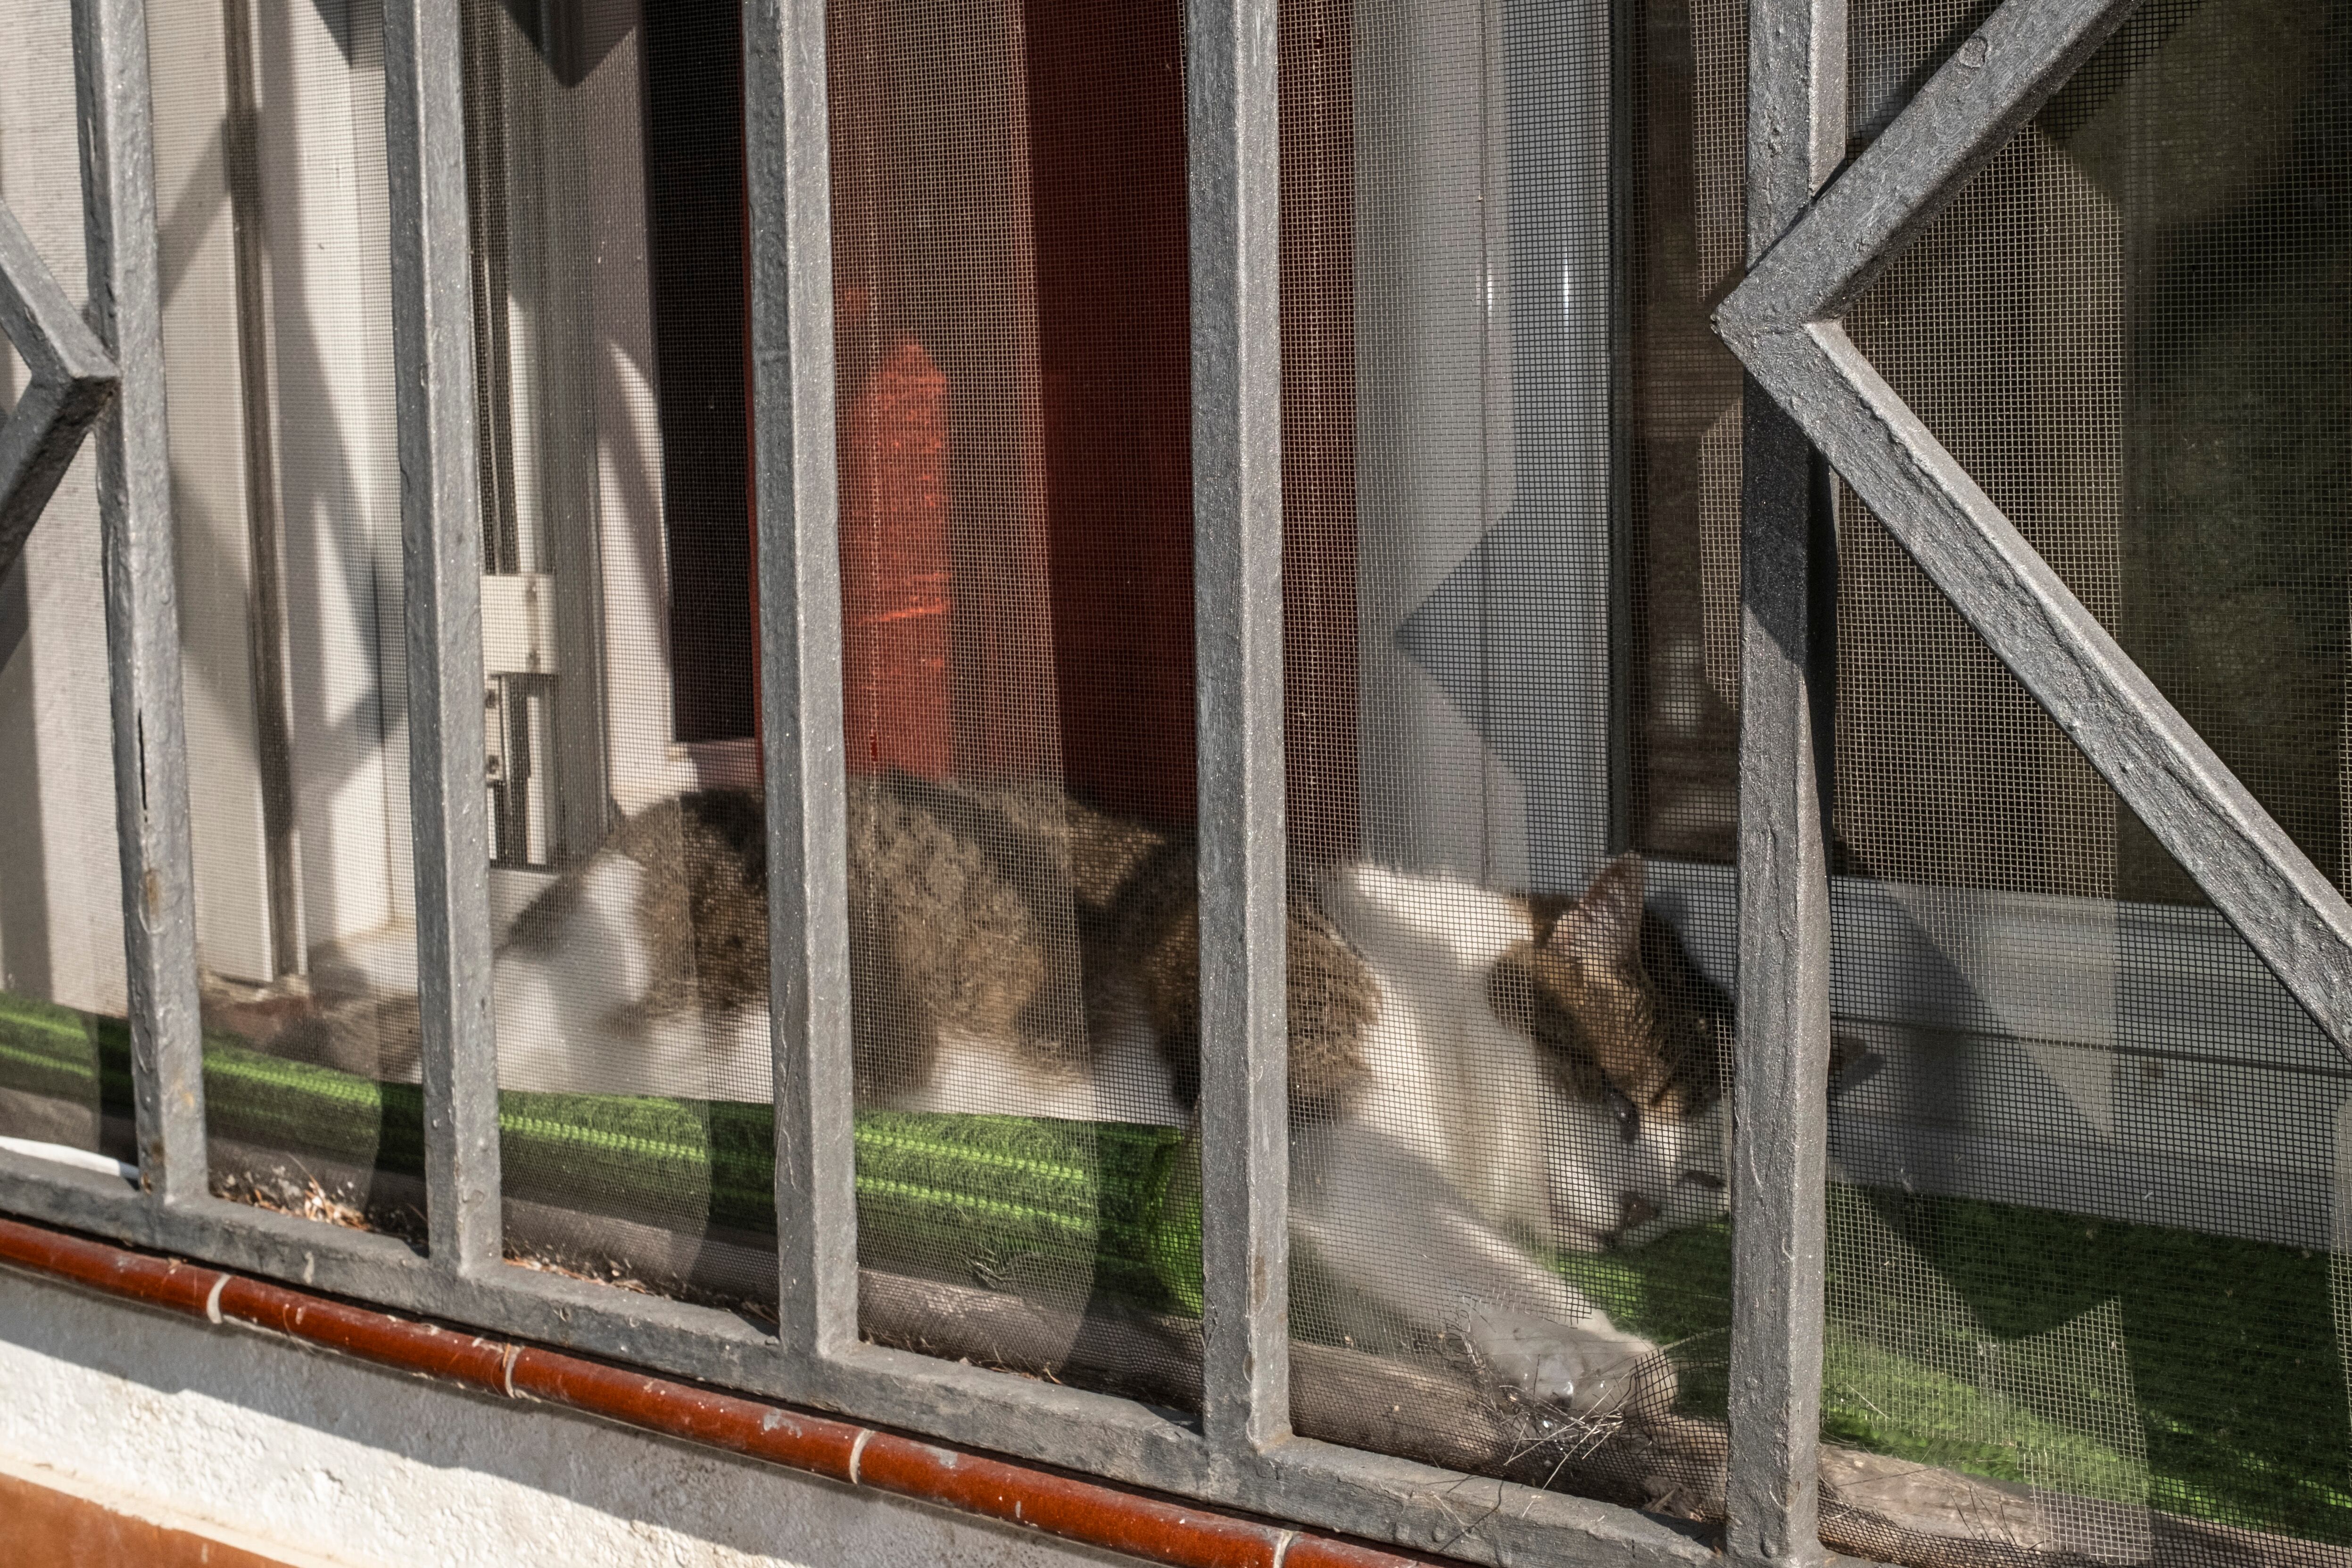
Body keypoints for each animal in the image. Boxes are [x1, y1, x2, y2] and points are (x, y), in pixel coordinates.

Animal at [298, 776, 1731, 1419]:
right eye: (1620, 1100)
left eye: (1702, 1184)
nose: (1639, 1212)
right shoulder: (1320, 1130)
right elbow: (1464, 1245)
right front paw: (1614, 1351)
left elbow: (1418, 1290)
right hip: (591, 986)